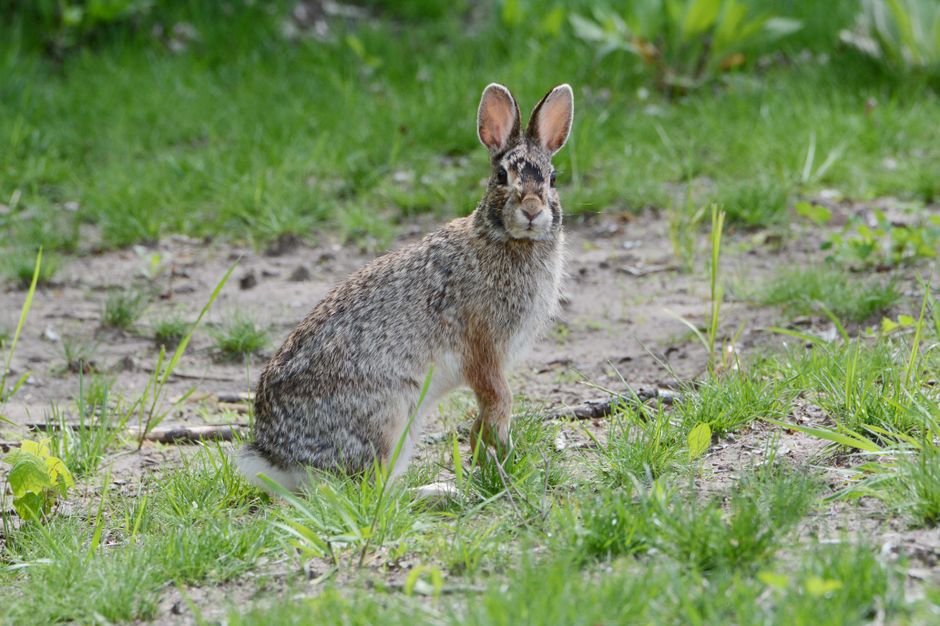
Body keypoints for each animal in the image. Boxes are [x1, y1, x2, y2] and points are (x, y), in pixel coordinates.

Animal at [237, 82, 574, 492]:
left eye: (552, 179)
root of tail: (276, 458)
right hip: (387, 418)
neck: (506, 239)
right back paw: (441, 492)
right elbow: (500, 399)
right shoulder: (483, 349)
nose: (531, 209)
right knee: (370, 491)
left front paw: (484, 450)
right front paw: (497, 456)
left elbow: (487, 408)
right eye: (500, 175)